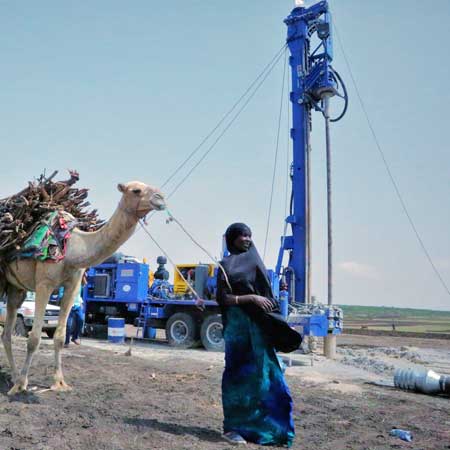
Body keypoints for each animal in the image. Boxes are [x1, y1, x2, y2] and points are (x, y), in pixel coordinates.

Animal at [0, 181, 166, 396]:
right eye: (136, 190)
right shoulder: (44, 284)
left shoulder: (73, 286)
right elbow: (34, 338)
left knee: (6, 333)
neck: (72, 247)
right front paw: (21, 385)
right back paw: (16, 380)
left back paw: (13, 376)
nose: (160, 198)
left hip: (15, 288)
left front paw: (59, 383)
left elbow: (60, 337)